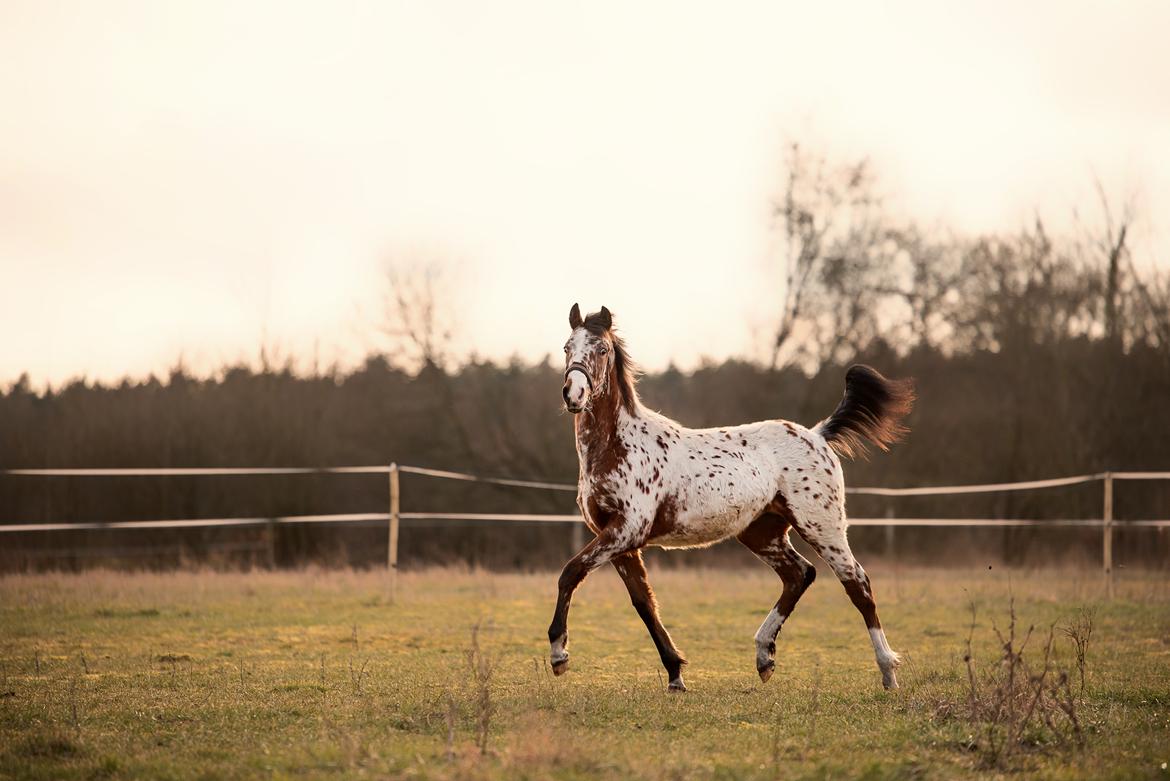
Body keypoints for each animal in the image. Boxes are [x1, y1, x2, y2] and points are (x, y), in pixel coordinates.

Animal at [547, 301, 912, 692]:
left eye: (601, 349)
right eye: (566, 347)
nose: (573, 394)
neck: (617, 446)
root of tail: (818, 434)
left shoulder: (627, 530)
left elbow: (571, 572)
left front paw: (559, 654)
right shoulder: (620, 540)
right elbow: (644, 603)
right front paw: (675, 674)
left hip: (822, 526)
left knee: (857, 583)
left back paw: (888, 673)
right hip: (761, 532)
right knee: (799, 574)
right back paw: (764, 657)